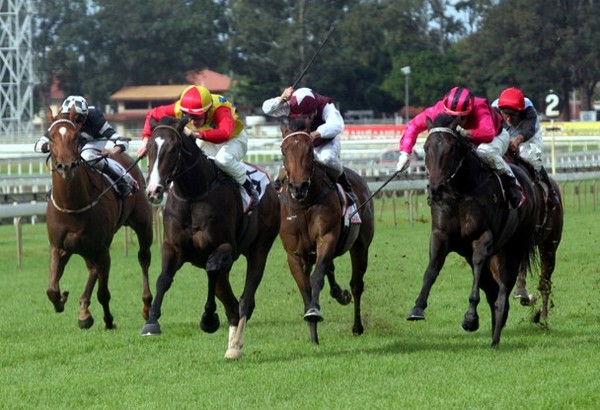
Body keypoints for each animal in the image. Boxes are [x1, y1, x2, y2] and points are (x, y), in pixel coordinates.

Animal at [45, 106, 155, 330]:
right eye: (51, 137)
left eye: (76, 136)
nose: (66, 166)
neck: (73, 206)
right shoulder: (58, 246)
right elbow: (51, 289)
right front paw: (63, 300)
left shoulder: (102, 248)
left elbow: (103, 293)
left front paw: (108, 320)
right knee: (92, 269)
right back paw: (83, 309)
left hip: (143, 224)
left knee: (143, 258)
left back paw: (147, 306)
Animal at [141, 115, 282, 358]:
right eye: (149, 147)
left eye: (173, 148)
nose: (153, 191)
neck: (193, 195)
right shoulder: (172, 247)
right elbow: (163, 279)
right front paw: (151, 322)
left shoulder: (224, 247)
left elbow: (212, 270)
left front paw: (208, 319)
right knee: (230, 302)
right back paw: (232, 343)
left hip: (260, 248)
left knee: (245, 299)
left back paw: (235, 346)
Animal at [278, 122, 372, 346]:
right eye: (284, 150)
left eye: (310, 150)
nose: (298, 187)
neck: (304, 204)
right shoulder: (295, 254)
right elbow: (304, 287)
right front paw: (313, 331)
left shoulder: (326, 238)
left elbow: (317, 278)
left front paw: (314, 311)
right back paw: (339, 294)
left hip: (361, 246)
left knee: (357, 284)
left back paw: (356, 325)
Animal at [406, 113, 536, 348]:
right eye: (426, 147)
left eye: (450, 149)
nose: (435, 189)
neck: (461, 190)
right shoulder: (440, 235)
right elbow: (431, 269)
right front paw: (417, 308)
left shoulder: (482, 237)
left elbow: (477, 268)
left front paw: (470, 318)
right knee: (492, 289)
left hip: (514, 247)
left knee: (503, 288)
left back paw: (496, 334)